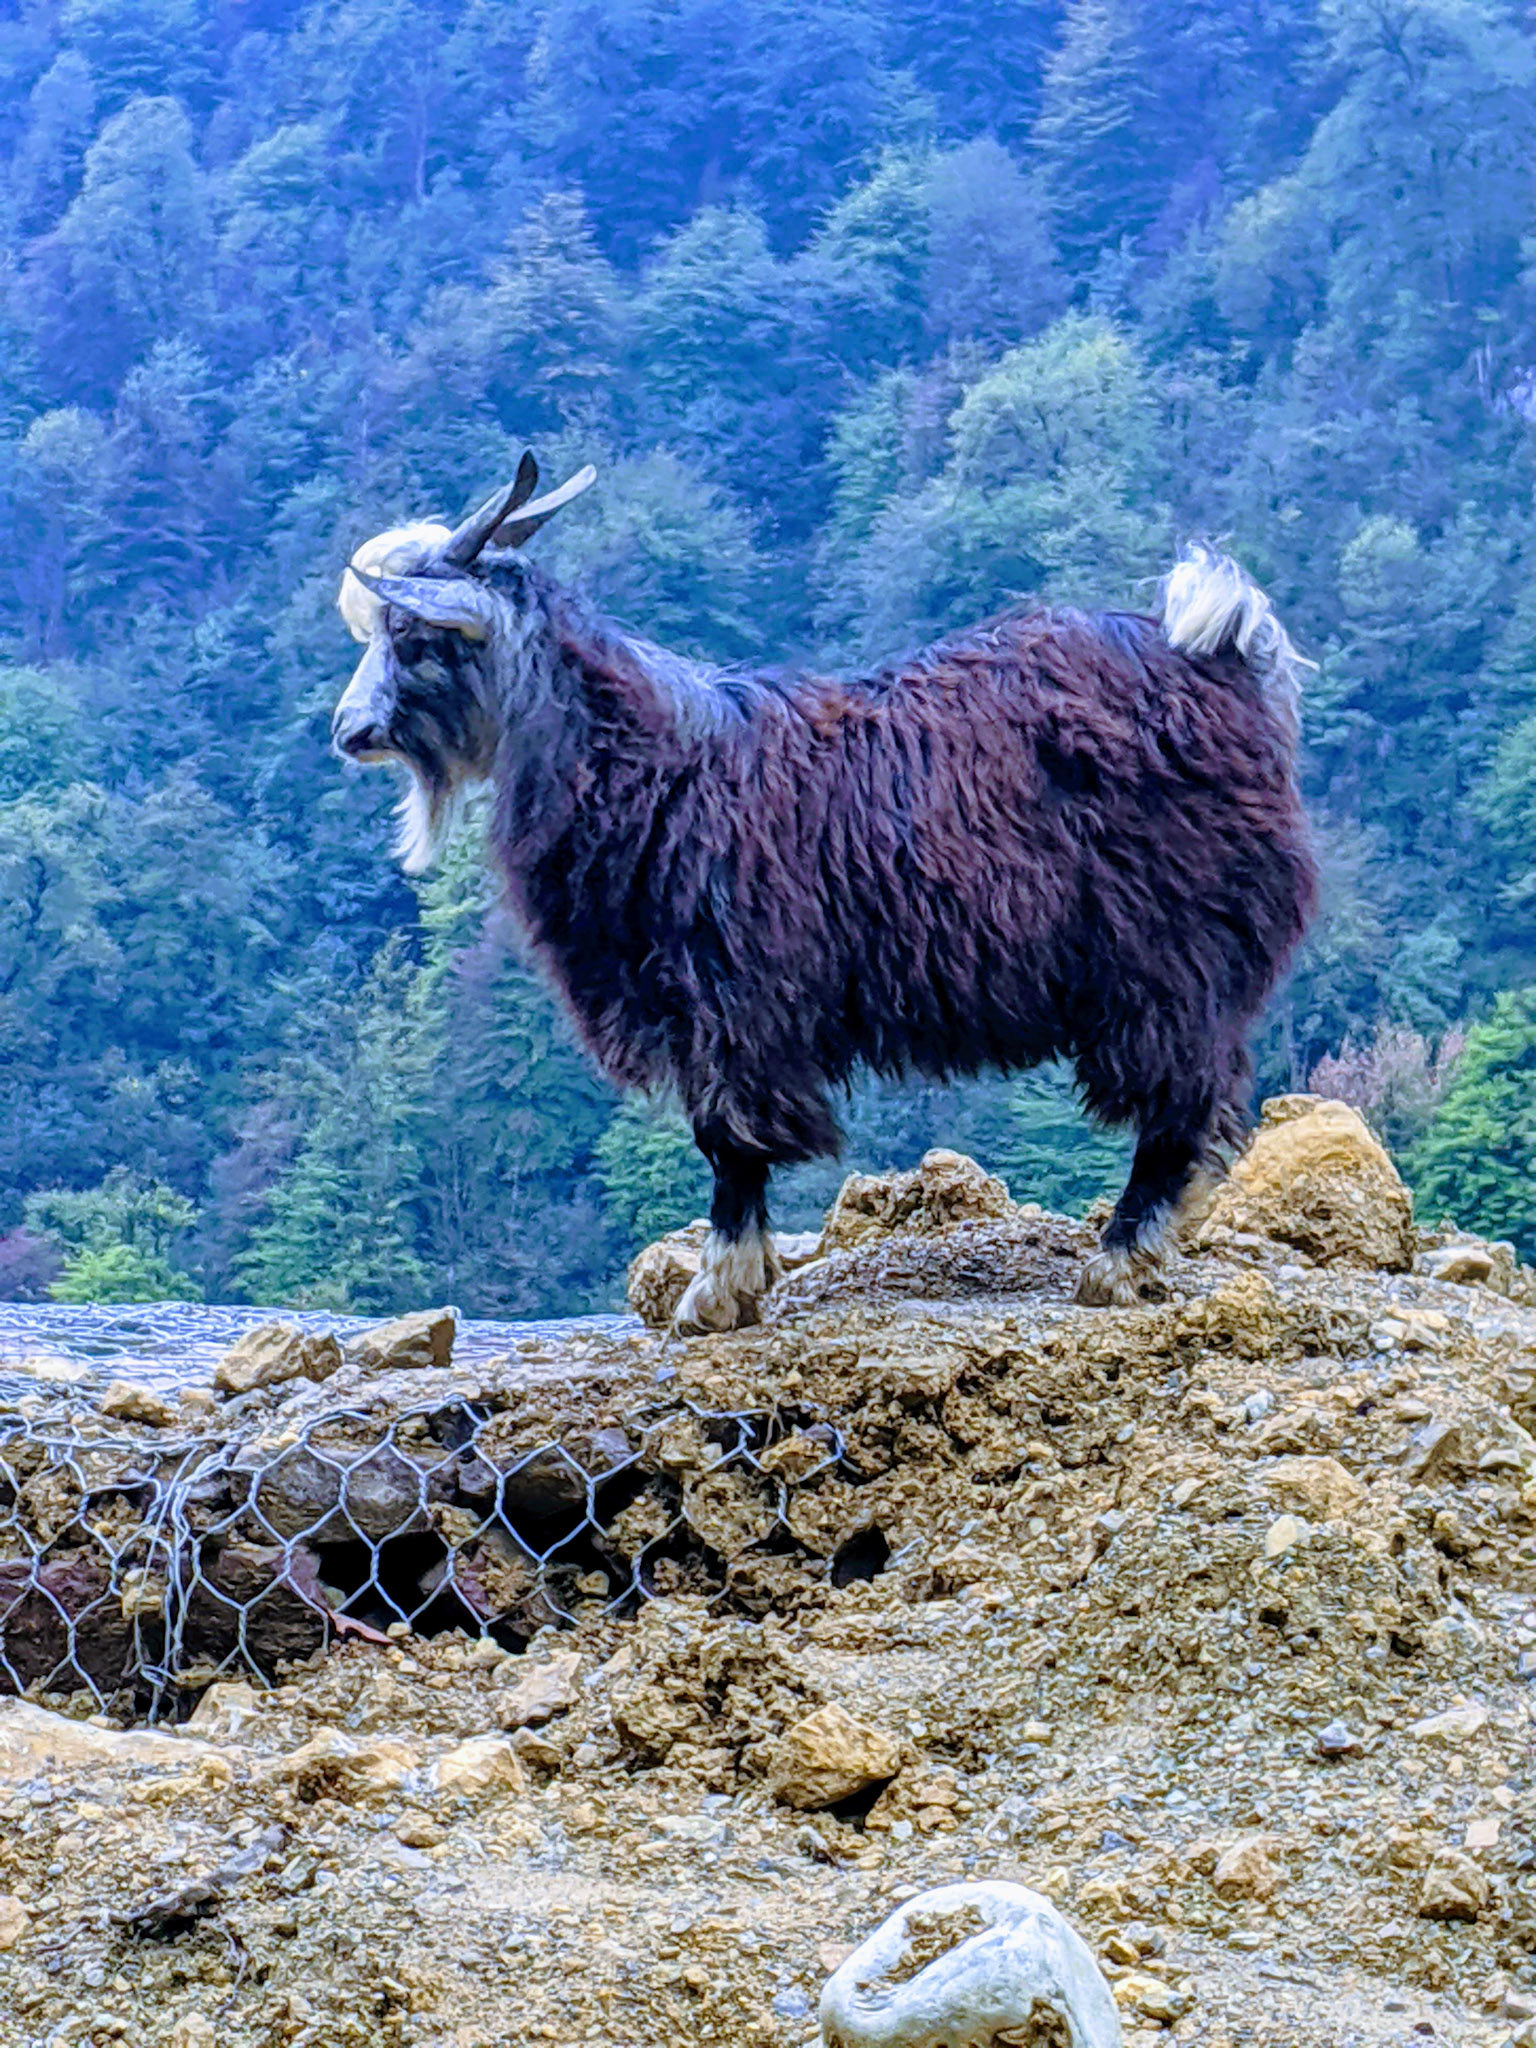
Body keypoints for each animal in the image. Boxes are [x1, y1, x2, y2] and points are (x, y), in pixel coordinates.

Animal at [332, 455, 1317, 1330]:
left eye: (415, 640)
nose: (348, 730)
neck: (646, 761)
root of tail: (1224, 656)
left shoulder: (732, 1000)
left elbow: (729, 1142)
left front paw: (716, 1293)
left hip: (1167, 954)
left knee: (1181, 1102)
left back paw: (1118, 1261)